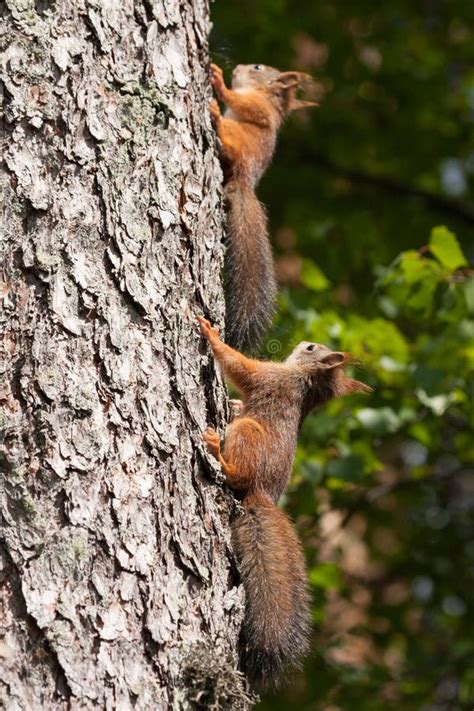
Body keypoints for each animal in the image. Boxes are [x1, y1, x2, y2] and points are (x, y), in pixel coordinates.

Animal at [196, 318, 370, 688]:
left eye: (311, 348)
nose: (304, 341)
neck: (304, 381)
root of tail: (261, 492)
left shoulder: (269, 376)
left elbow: (239, 365)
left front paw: (211, 334)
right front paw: (233, 403)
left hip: (248, 434)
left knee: (237, 474)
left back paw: (217, 451)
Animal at [210, 62, 314, 352]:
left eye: (257, 67)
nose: (238, 67)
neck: (262, 93)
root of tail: (244, 182)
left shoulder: (257, 107)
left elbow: (242, 104)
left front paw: (219, 81)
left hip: (239, 139)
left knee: (231, 146)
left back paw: (217, 118)